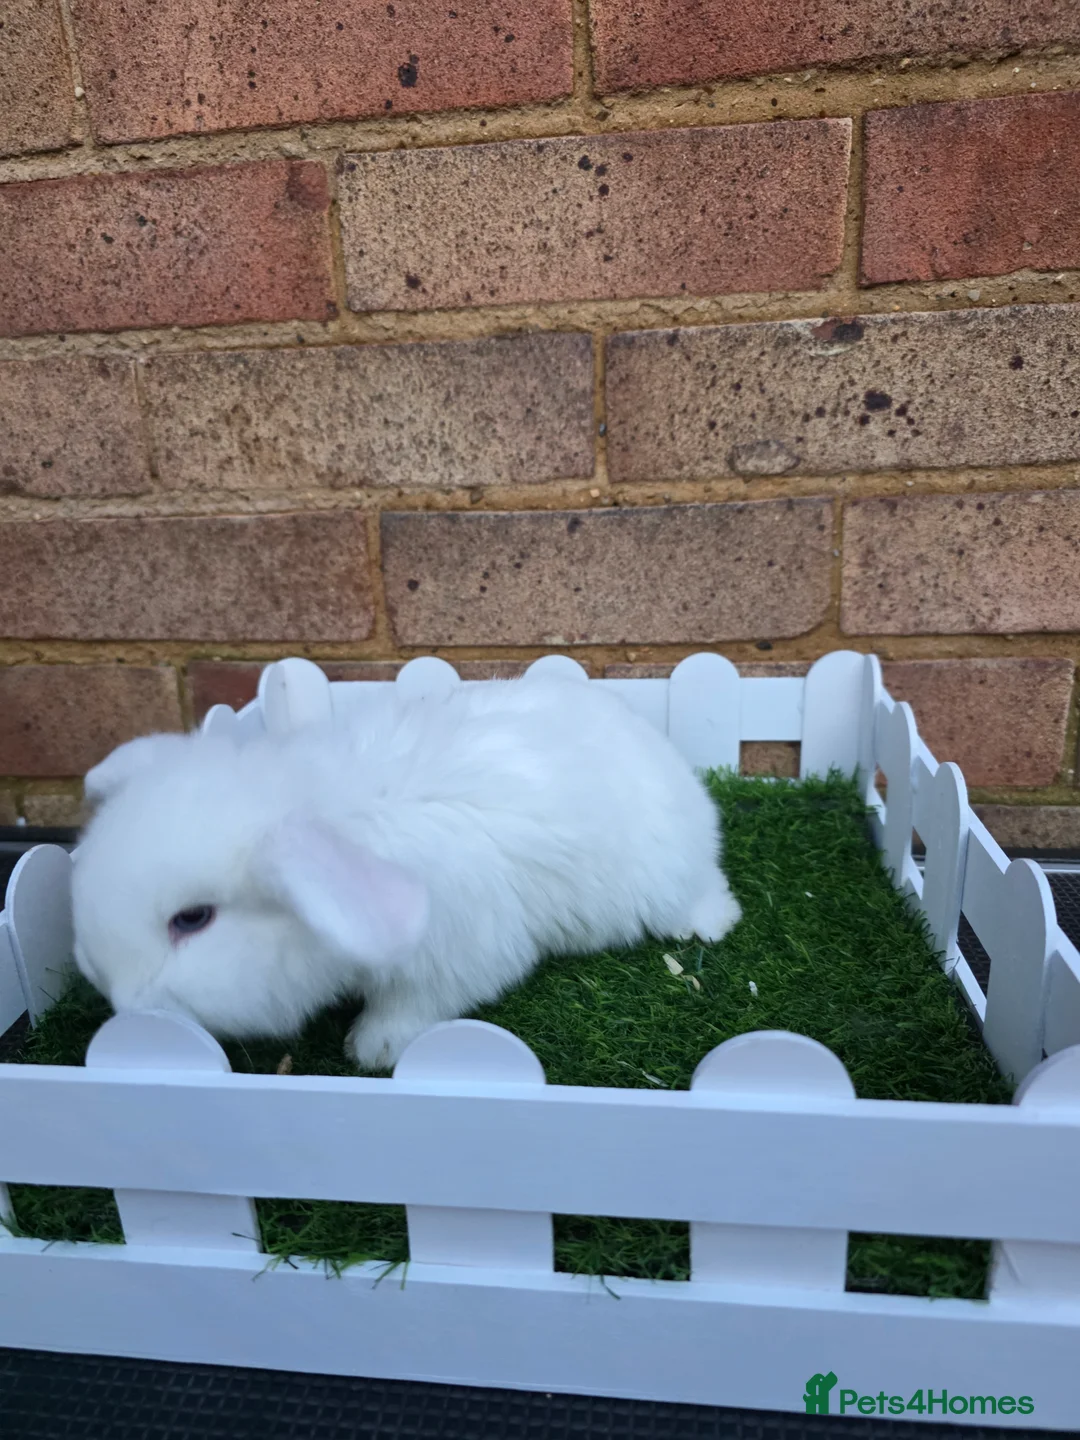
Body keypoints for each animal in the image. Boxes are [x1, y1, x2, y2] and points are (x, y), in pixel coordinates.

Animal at [71, 674, 742, 1071]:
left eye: (192, 919)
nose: (121, 1003)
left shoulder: (459, 954)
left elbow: (415, 1005)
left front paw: (373, 1047)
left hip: (669, 878)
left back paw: (707, 926)